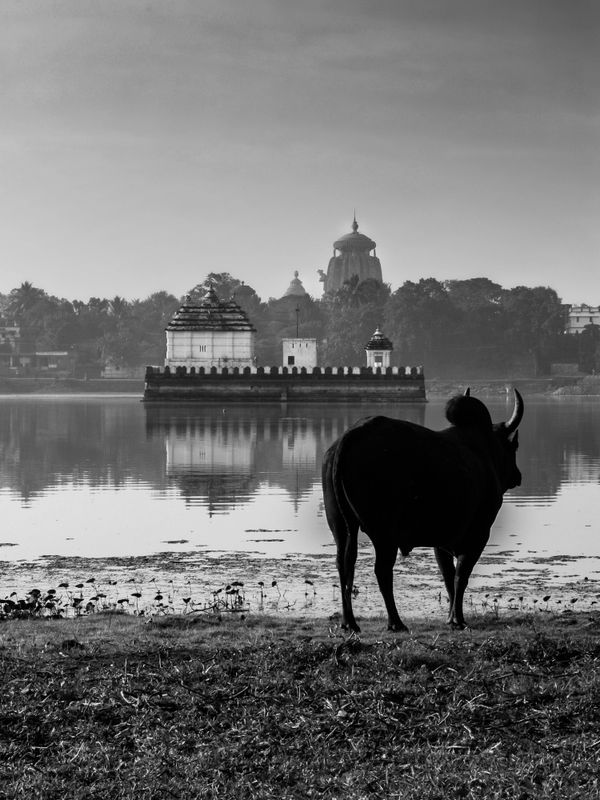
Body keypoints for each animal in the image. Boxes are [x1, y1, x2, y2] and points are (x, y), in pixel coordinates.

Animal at [322, 389, 524, 632]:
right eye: (513, 446)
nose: (517, 476)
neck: (485, 453)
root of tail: (350, 435)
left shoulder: (442, 539)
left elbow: (448, 577)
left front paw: (451, 616)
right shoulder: (478, 533)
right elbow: (460, 576)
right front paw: (457, 619)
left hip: (341, 527)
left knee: (344, 565)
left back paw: (349, 622)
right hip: (384, 533)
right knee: (382, 571)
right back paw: (395, 622)